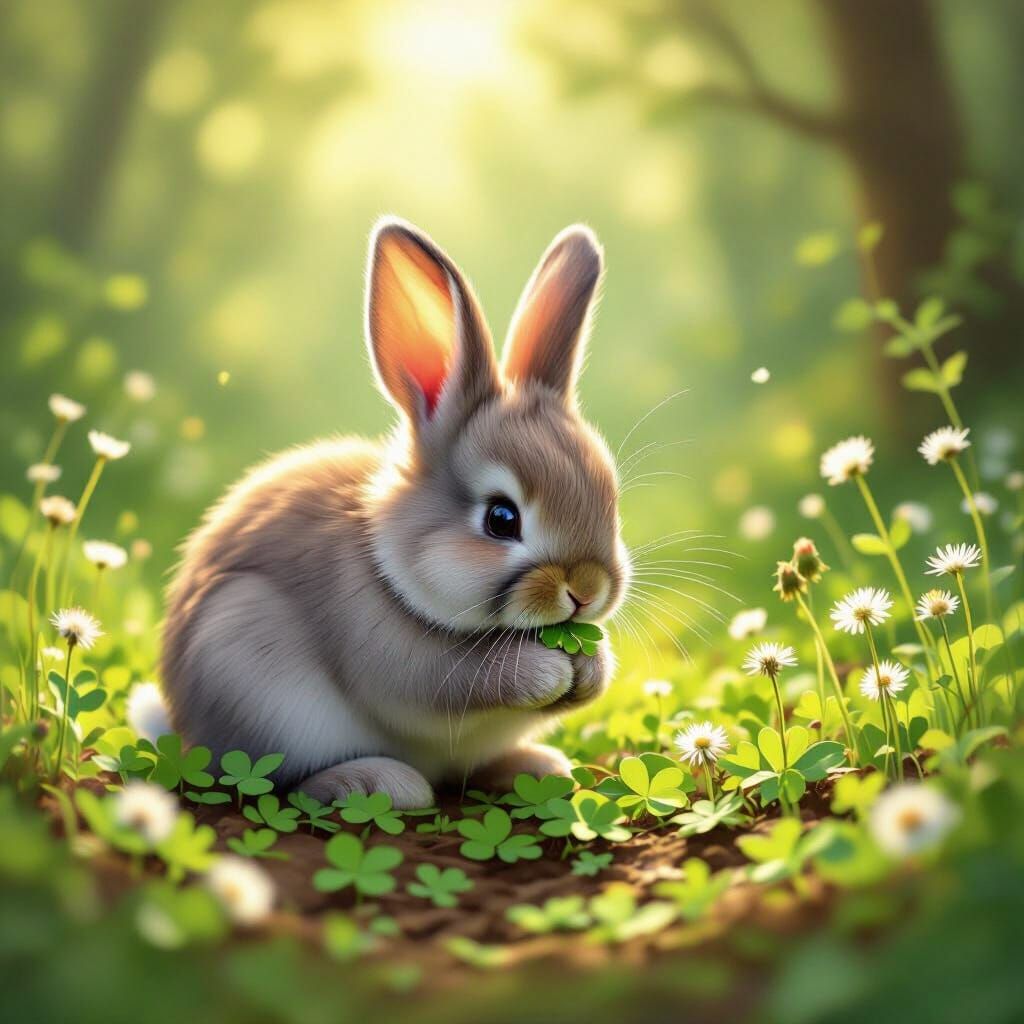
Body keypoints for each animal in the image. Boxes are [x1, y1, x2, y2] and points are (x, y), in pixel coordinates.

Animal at [160, 217, 630, 808]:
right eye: (502, 519)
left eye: (611, 498)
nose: (588, 590)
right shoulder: (395, 657)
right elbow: (454, 679)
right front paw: (548, 669)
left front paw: (590, 669)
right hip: (249, 672)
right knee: (275, 783)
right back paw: (375, 781)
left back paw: (536, 766)